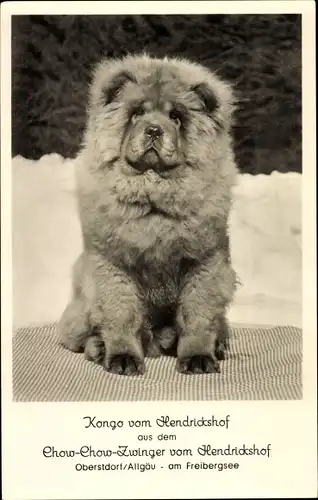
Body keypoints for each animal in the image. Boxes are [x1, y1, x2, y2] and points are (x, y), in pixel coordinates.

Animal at [59, 53, 238, 376]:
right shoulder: (113, 264)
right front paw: (123, 359)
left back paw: (217, 346)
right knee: (83, 333)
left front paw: (198, 358)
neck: (154, 200)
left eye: (177, 117)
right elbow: (121, 314)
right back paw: (99, 348)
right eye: (136, 113)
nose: (154, 129)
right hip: (80, 306)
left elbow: (197, 315)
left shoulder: (204, 264)